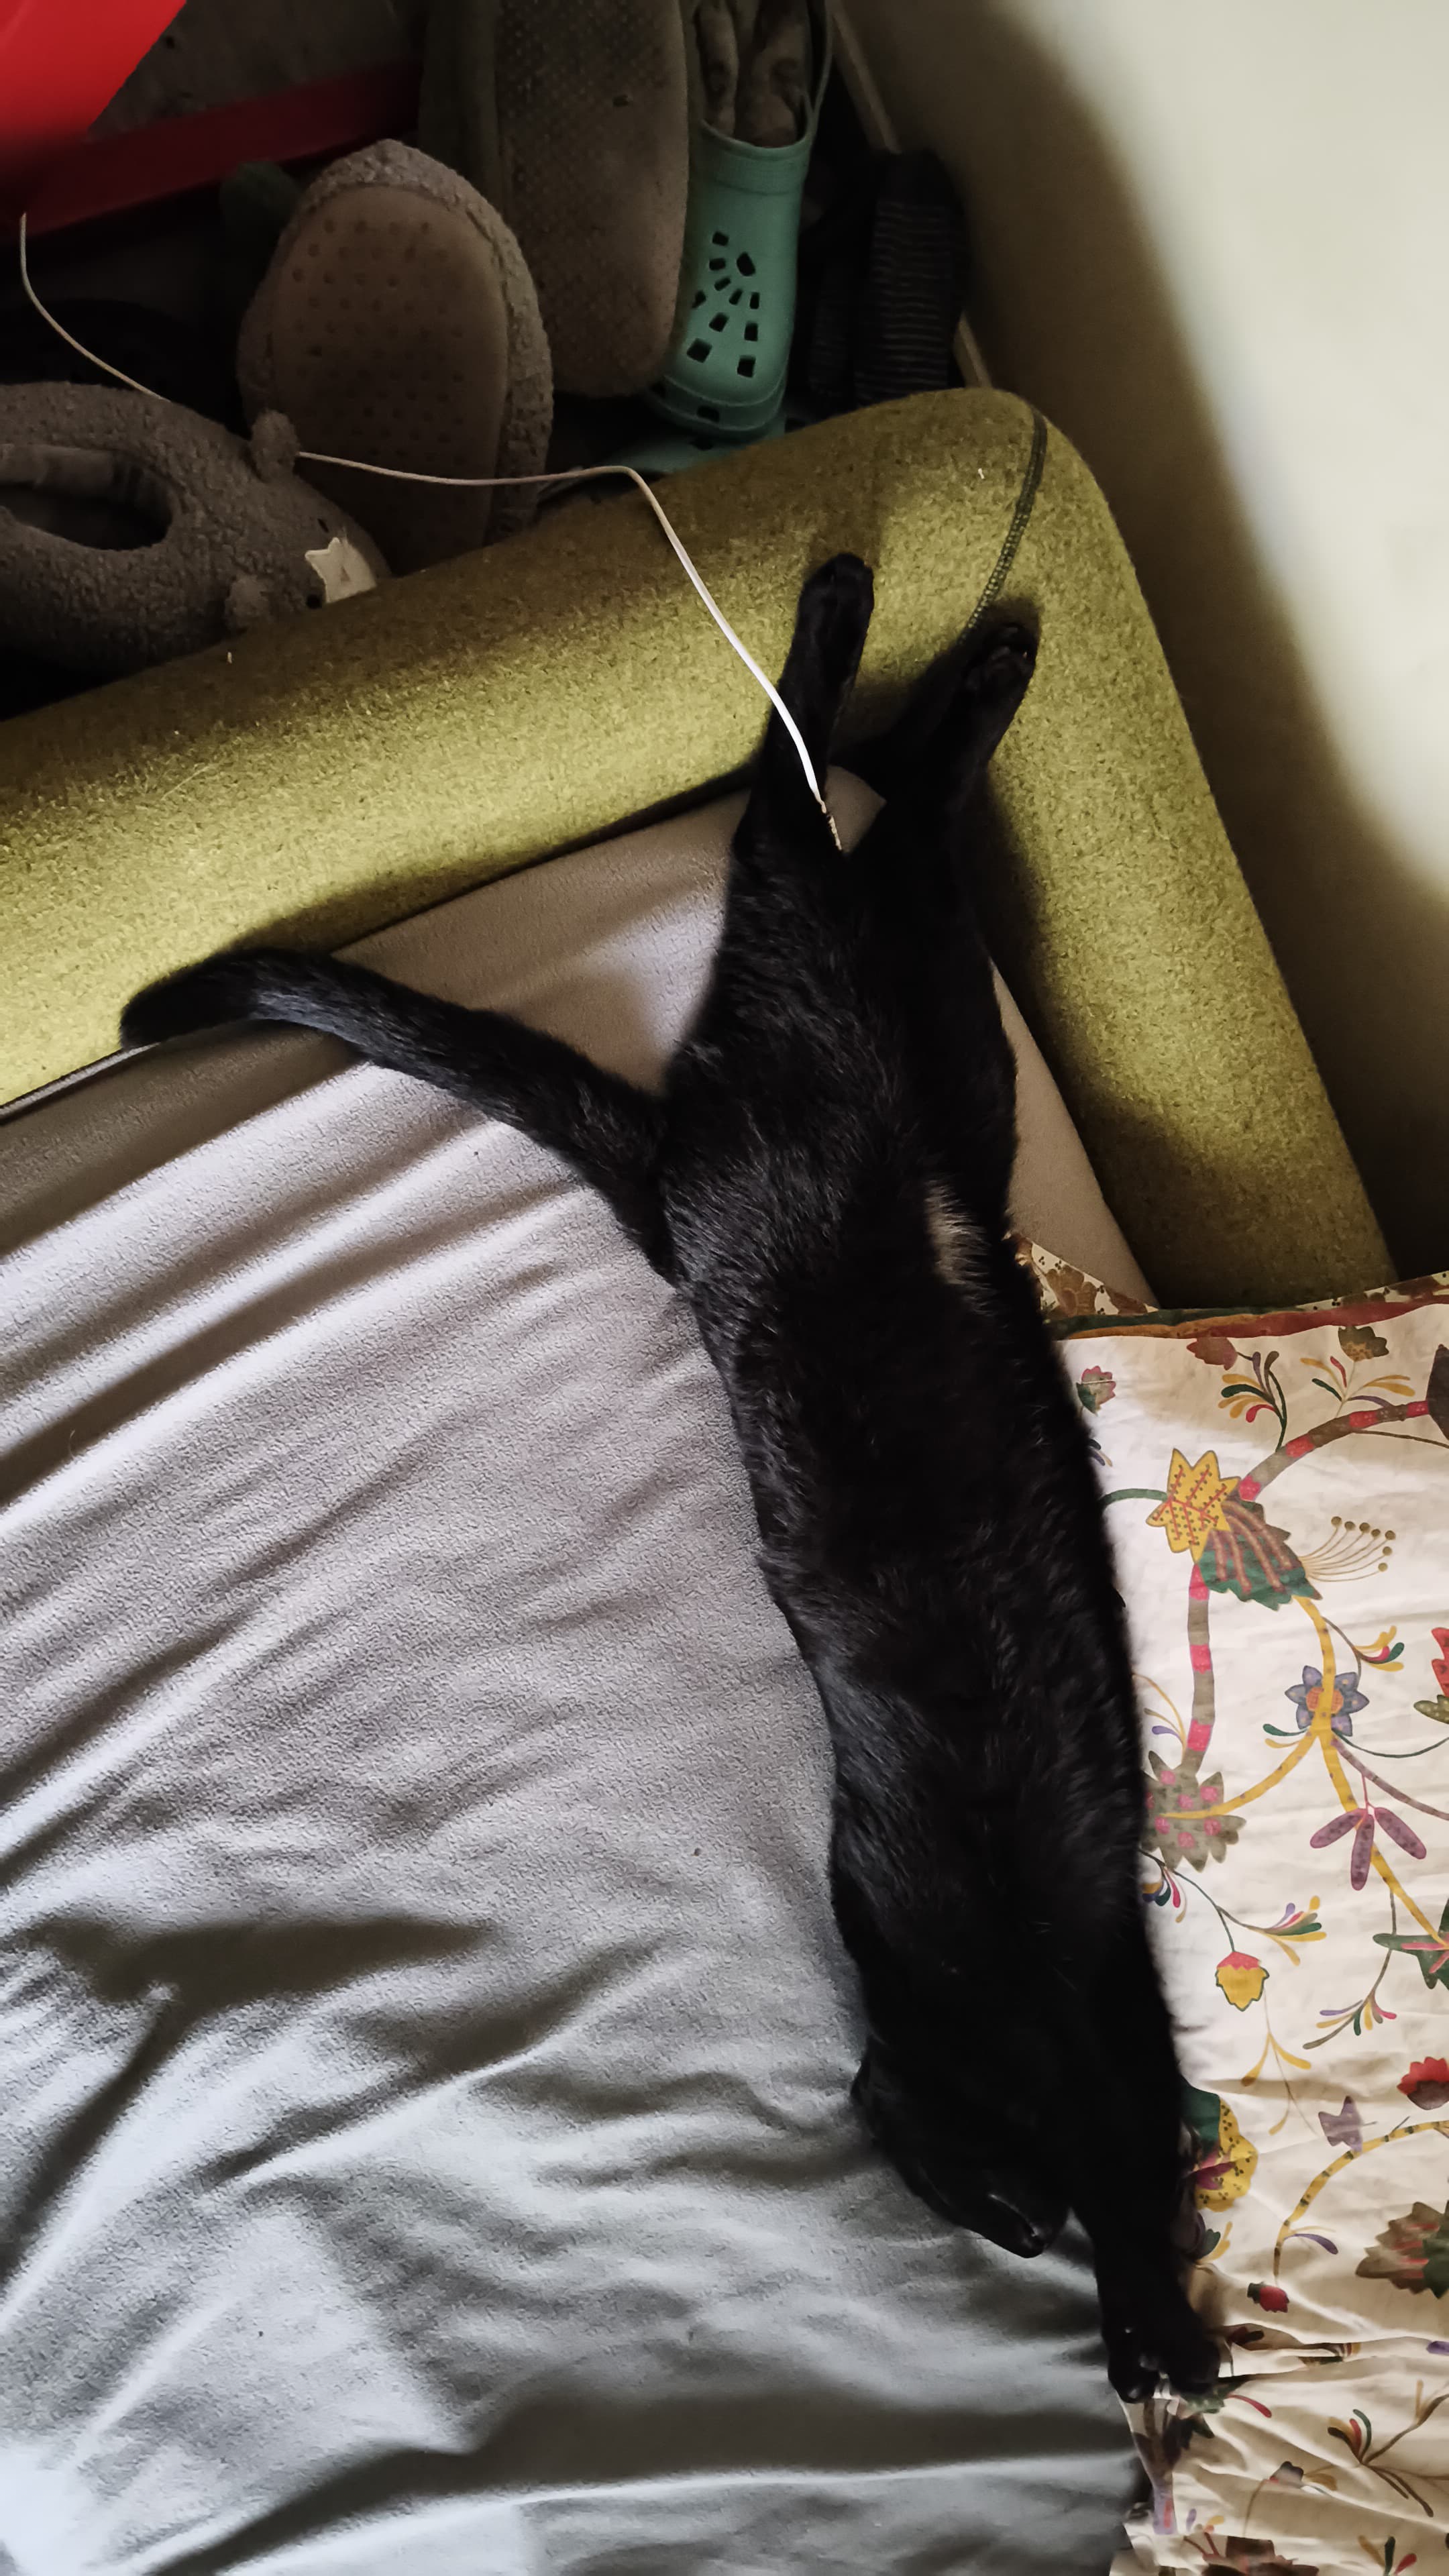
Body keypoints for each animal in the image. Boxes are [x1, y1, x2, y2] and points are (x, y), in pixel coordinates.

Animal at [124, 555, 1216, 2402]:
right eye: (981, 2206)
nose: (1017, 2232)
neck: (971, 2001)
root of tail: (677, 1180)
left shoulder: (1067, 1984)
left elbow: (1127, 2136)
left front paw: (1151, 2326)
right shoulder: (1104, 1996)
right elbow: (1136, 2123)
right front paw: (1160, 2325)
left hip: (843, 987)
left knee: (785, 806)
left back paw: (853, 615)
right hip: (953, 1036)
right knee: (897, 819)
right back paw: (985, 662)